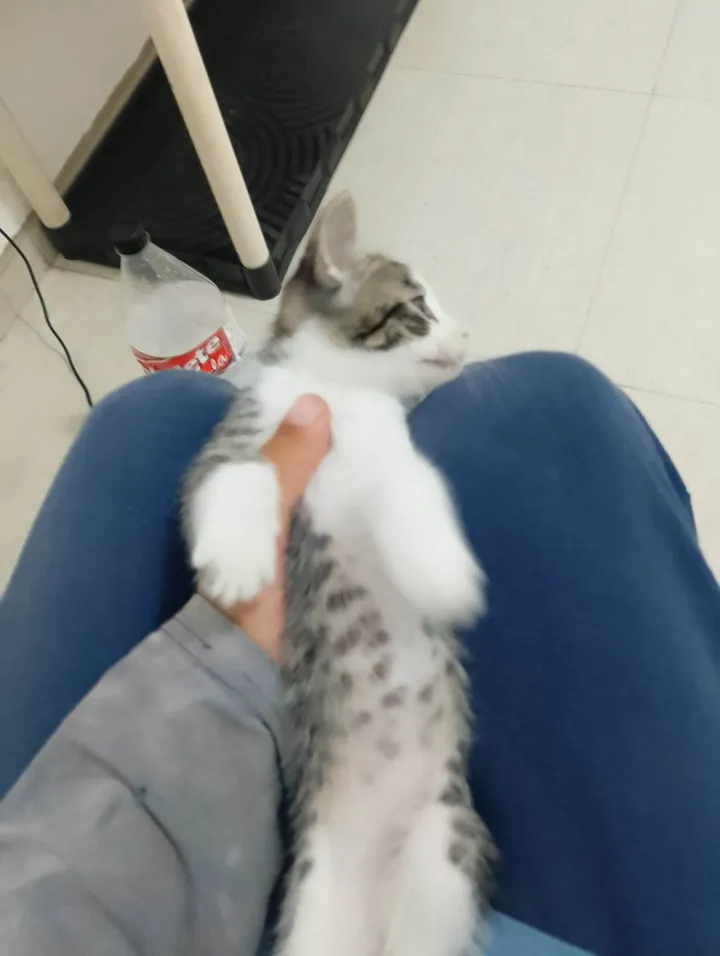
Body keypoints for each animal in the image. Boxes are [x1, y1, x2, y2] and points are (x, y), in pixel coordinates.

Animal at [183, 192, 494, 956]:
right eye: (418, 307)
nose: (467, 333)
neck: (337, 394)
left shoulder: (395, 453)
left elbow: (411, 487)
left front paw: (443, 573)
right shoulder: (231, 444)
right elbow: (240, 472)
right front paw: (238, 562)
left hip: (443, 849)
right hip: (317, 902)